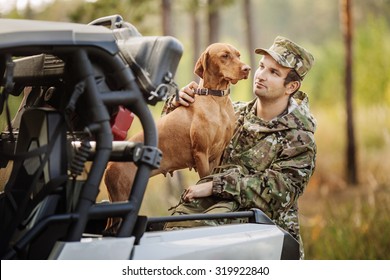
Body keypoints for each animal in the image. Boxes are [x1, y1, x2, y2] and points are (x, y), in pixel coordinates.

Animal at [103, 42, 250, 208]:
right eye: (224, 55)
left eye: (238, 55)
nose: (247, 69)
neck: (217, 101)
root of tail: (108, 167)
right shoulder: (200, 153)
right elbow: (203, 179)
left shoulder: (217, 155)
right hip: (122, 196)